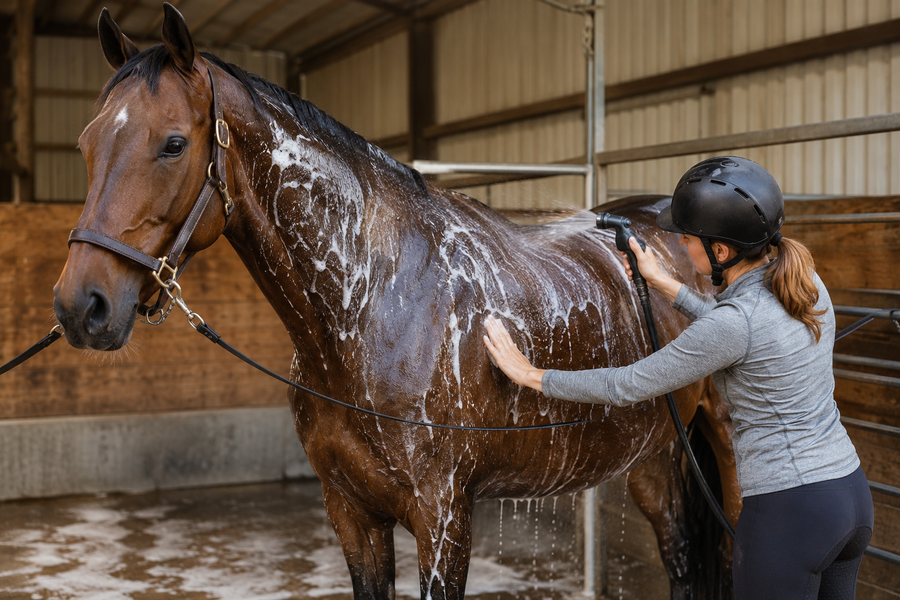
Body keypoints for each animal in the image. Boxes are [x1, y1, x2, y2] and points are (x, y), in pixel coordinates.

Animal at [52, 5, 740, 599]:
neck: (378, 302)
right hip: (654, 456)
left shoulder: (443, 519)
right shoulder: (351, 512)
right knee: (681, 559)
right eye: (84, 145)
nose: (80, 306)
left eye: (172, 144)